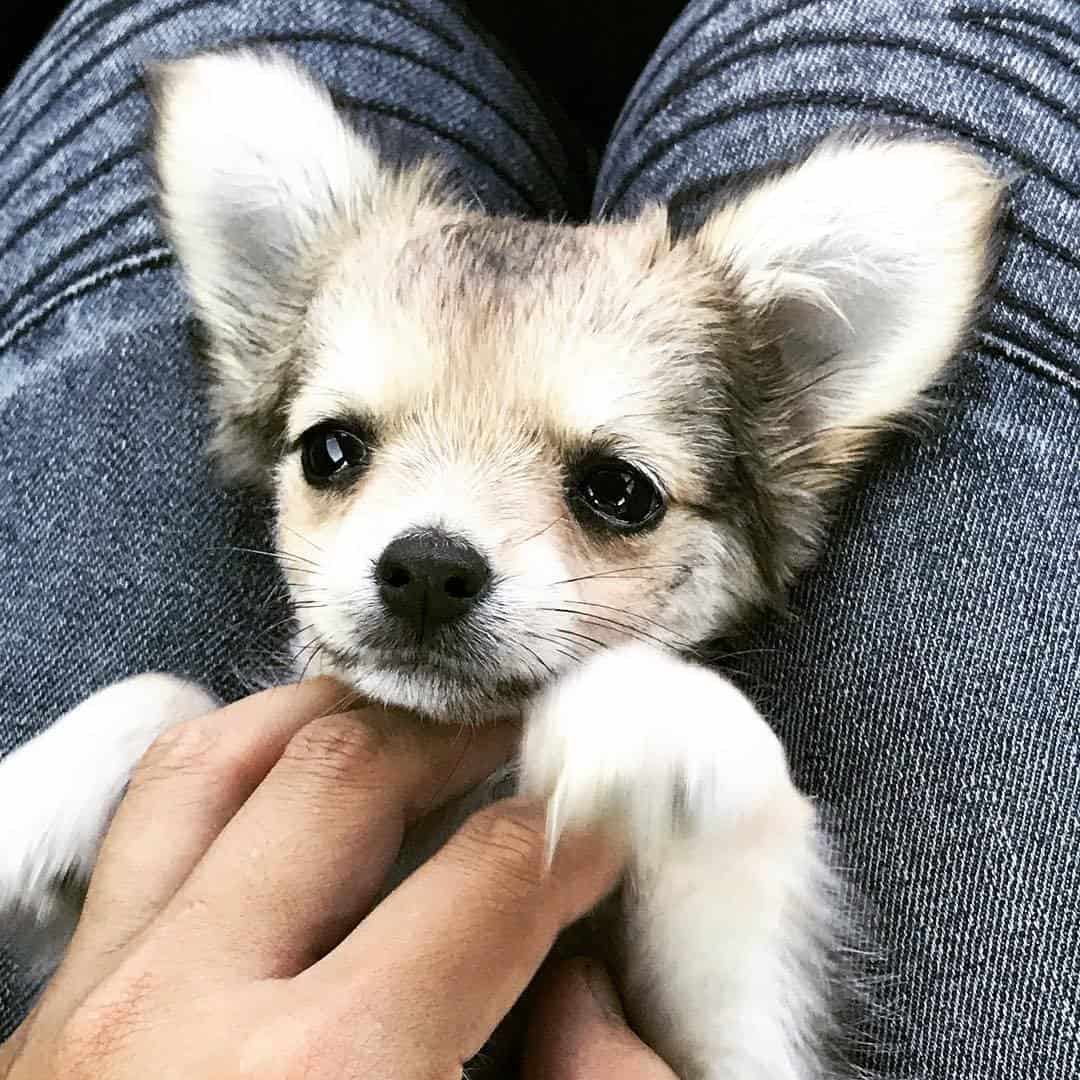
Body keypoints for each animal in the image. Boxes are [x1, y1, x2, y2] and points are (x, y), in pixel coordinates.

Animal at [0, 48, 1002, 1080]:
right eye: (329, 451)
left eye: (620, 491)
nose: (426, 567)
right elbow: (165, 694)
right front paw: (28, 797)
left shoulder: (731, 1050)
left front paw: (641, 703)